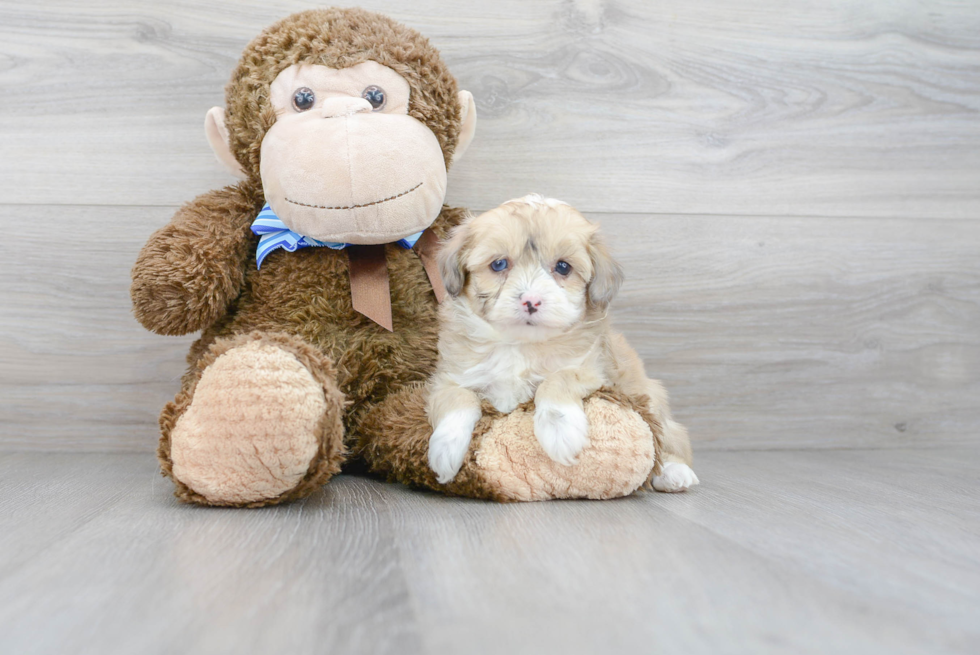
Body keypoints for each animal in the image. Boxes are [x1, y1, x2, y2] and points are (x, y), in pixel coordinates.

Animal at [426, 192, 696, 490]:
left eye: (563, 267)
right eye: (499, 264)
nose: (531, 301)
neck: (519, 345)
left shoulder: (593, 370)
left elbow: (559, 378)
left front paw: (560, 431)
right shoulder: (448, 378)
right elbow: (457, 398)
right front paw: (446, 449)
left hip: (651, 397)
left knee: (671, 438)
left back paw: (673, 471)